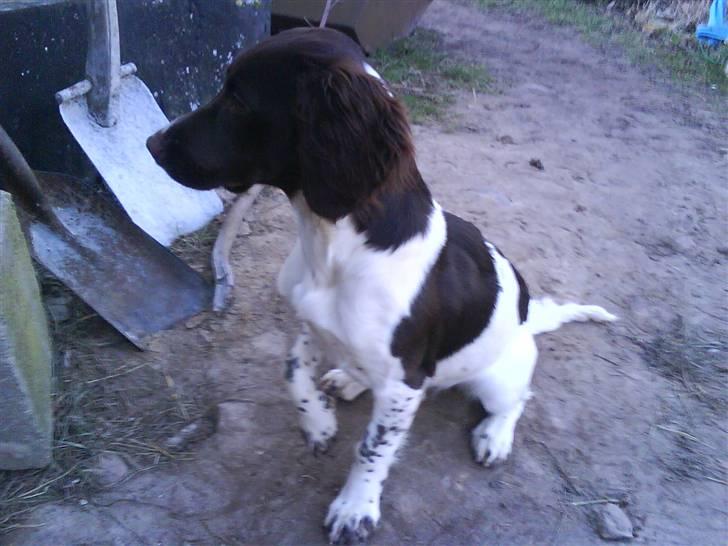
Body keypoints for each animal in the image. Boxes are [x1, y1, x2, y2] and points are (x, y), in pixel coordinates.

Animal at [146, 27, 616, 540]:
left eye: (237, 100)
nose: (151, 143)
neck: (334, 246)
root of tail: (530, 319)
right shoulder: (314, 326)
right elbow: (291, 371)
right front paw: (318, 424)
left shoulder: (406, 381)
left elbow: (372, 449)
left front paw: (355, 508)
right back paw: (348, 381)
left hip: (496, 377)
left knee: (516, 399)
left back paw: (494, 435)